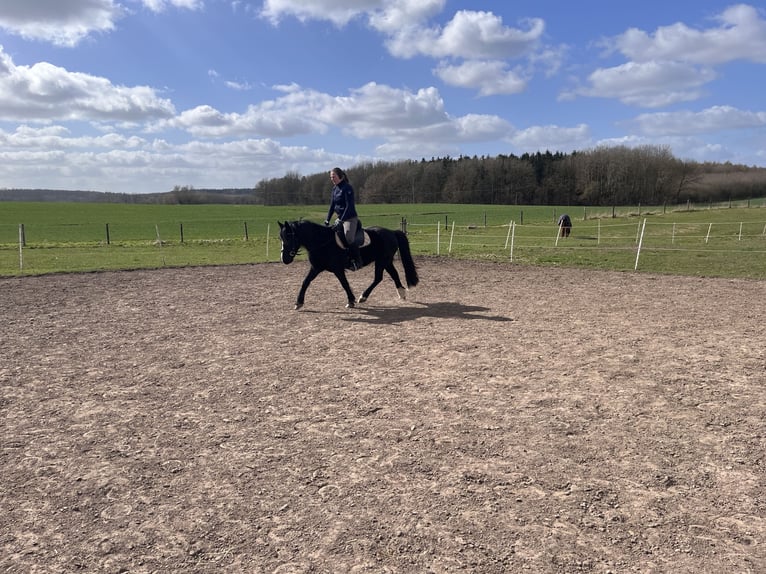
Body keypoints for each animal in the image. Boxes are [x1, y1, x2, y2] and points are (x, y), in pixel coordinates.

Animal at [278, 219, 419, 310]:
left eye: (289, 237)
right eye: (281, 238)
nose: (284, 259)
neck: (322, 241)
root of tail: (391, 232)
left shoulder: (338, 269)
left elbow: (344, 284)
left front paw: (351, 301)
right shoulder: (316, 268)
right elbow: (305, 282)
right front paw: (298, 302)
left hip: (382, 261)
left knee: (378, 278)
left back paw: (363, 297)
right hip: (386, 261)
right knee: (393, 274)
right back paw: (401, 294)